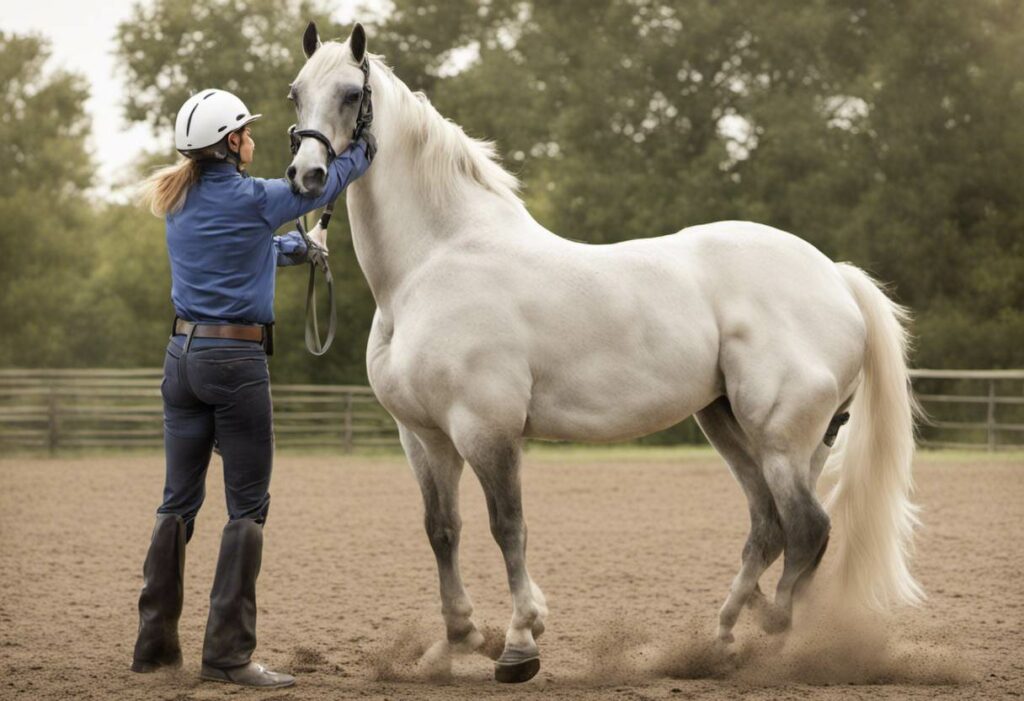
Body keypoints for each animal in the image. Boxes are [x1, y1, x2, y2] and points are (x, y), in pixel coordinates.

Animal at [284, 24, 925, 679]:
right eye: (295, 93)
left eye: (350, 94)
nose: (305, 176)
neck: (435, 263)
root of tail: (834, 276)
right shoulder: (423, 435)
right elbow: (442, 529)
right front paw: (455, 641)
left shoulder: (486, 429)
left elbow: (507, 526)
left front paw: (520, 643)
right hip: (741, 427)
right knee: (771, 526)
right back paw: (724, 638)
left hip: (777, 435)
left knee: (807, 528)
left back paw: (772, 639)